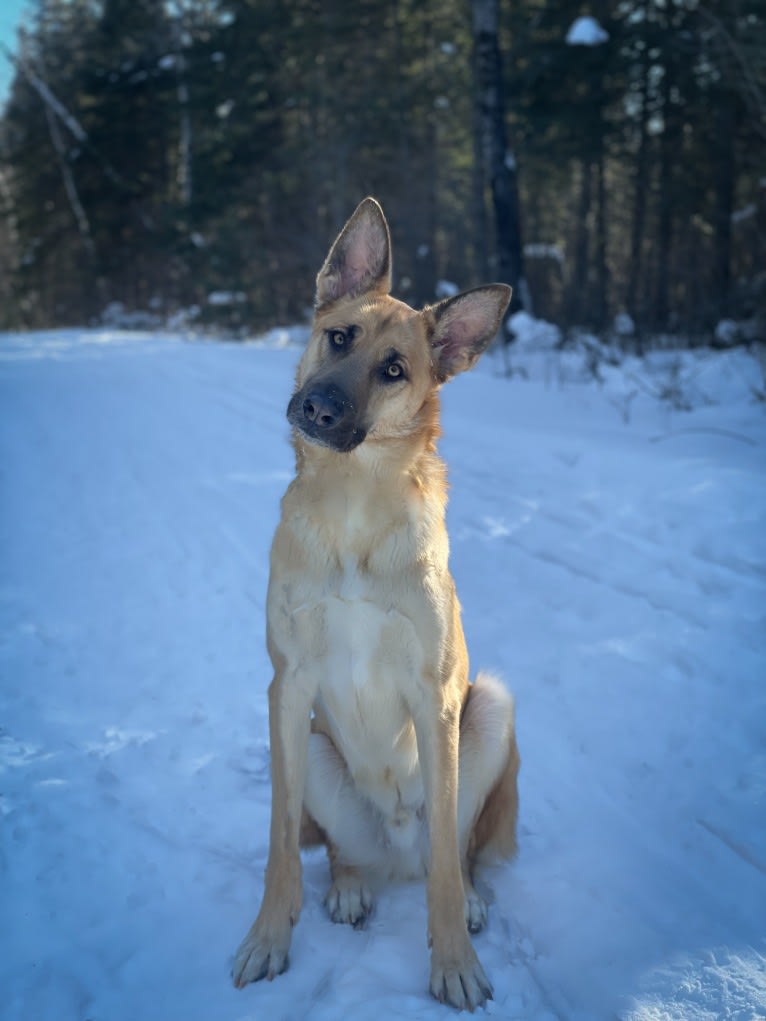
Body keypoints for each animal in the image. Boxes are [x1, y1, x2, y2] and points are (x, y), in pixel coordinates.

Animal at [233, 195, 522, 1008]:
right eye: (340, 337)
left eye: (394, 370)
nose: (320, 408)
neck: (354, 503)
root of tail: (394, 851)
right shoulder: (287, 684)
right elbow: (279, 848)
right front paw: (268, 939)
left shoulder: (435, 694)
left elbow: (449, 871)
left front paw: (454, 962)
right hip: (314, 748)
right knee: (339, 850)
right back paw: (352, 884)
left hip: (490, 707)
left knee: (455, 854)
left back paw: (468, 897)